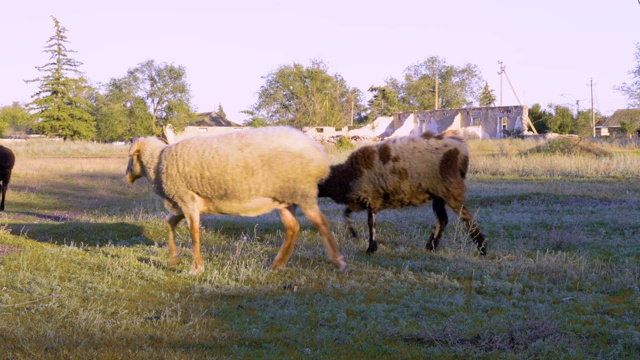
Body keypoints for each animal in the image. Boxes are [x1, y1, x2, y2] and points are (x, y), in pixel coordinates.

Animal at [125, 126, 344, 276]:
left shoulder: (186, 200)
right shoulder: (184, 203)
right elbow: (169, 223)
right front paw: (174, 259)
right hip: (285, 198)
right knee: (293, 228)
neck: (157, 163)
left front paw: (196, 268)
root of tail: (318, 152)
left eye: (132, 156)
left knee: (321, 223)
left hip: (302, 193)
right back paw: (276, 265)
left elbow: (194, 234)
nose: (126, 177)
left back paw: (337, 261)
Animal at [318, 132, 488, 256]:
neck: (345, 176)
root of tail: (463, 149)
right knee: (442, 219)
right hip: (438, 193)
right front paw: (355, 234)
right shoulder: (362, 198)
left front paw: (370, 247)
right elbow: (347, 213)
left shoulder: (370, 196)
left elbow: (370, 223)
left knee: (466, 217)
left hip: (450, 187)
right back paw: (431, 247)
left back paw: (482, 248)